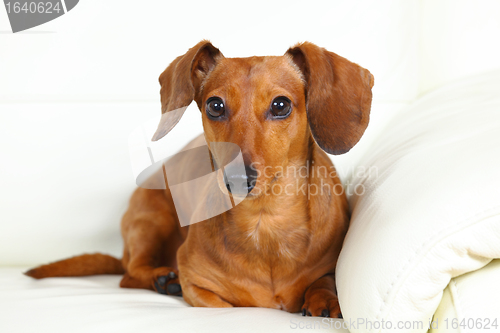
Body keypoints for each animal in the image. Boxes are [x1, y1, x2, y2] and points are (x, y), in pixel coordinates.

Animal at [25, 40, 374, 316]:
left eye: (281, 105)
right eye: (215, 105)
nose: (237, 179)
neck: (264, 223)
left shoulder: (325, 266)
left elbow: (323, 282)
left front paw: (323, 299)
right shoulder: (200, 287)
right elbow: (217, 300)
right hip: (152, 219)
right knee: (129, 274)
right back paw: (163, 279)